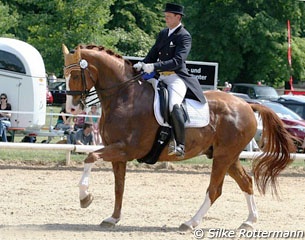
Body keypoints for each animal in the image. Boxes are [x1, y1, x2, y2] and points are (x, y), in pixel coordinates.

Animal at [62, 43, 294, 231]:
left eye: (76, 76)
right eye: (64, 75)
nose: (72, 109)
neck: (125, 97)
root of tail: (247, 104)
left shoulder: (125, 148)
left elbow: (90, 157)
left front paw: (85, 198)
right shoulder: (118, 152)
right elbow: (119, 186)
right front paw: (113, 218)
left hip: (224, 157)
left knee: (215, 190)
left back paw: (190, 223)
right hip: (229, 156)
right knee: (246, 182)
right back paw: (249, 222)